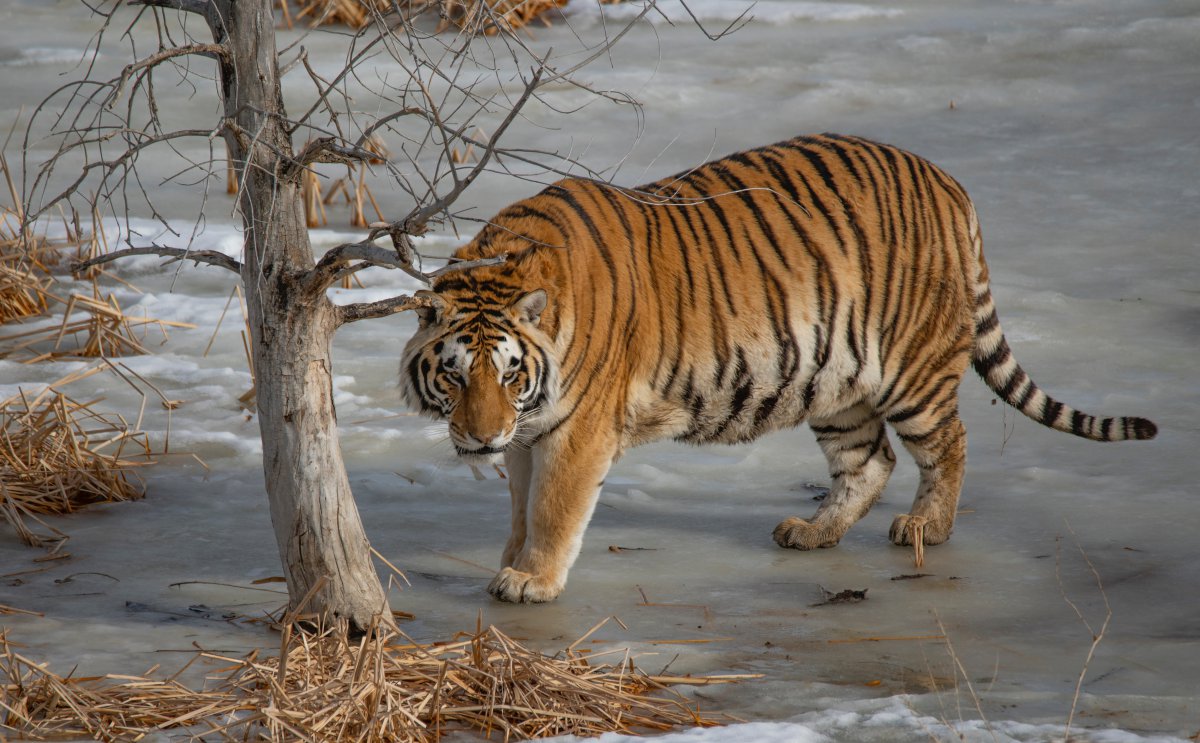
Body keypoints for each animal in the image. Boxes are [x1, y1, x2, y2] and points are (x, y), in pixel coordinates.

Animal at [398, 133, 1156, 604]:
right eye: (457, 375)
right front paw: (510, 562)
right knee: (869, 460)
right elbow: (521, 506)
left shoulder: (575, 429)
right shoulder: (531, 432)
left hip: (911, 368)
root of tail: (948, 180)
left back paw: (925, 527)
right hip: (837, 380)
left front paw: (531, 581)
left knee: (948, 443)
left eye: (508, 374)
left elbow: (553, 508)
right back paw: (813, 533)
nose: (481, 437)